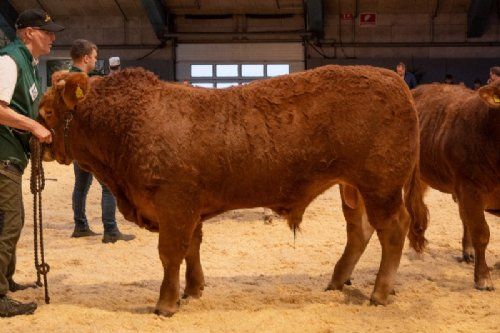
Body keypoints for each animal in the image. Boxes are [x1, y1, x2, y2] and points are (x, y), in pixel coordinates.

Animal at [40, 64, 430, 314]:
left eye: (46, 112)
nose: (40, 142)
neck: (131, 120)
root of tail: (395, 81)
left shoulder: (174, 204)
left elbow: (170, 253)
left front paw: (166, 303)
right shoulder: (189, 209)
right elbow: (191, 249)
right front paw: (193, 289)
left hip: (381, 187)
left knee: (392, 229)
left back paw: (379, 292)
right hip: (354, 189)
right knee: (360, 231)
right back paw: (338, 281)